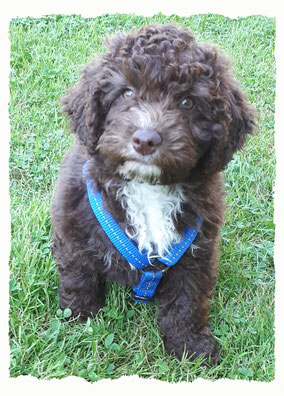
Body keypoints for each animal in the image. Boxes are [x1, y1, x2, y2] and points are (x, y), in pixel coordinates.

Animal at [51, 23, 258, 364]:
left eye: (187, 103)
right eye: (126, 93)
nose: (145, 140)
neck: (147, 187)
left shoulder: (197, 250)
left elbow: (188, 299)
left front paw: (190, 345)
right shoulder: (75, 228)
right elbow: (78, 275)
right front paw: (79, 318)